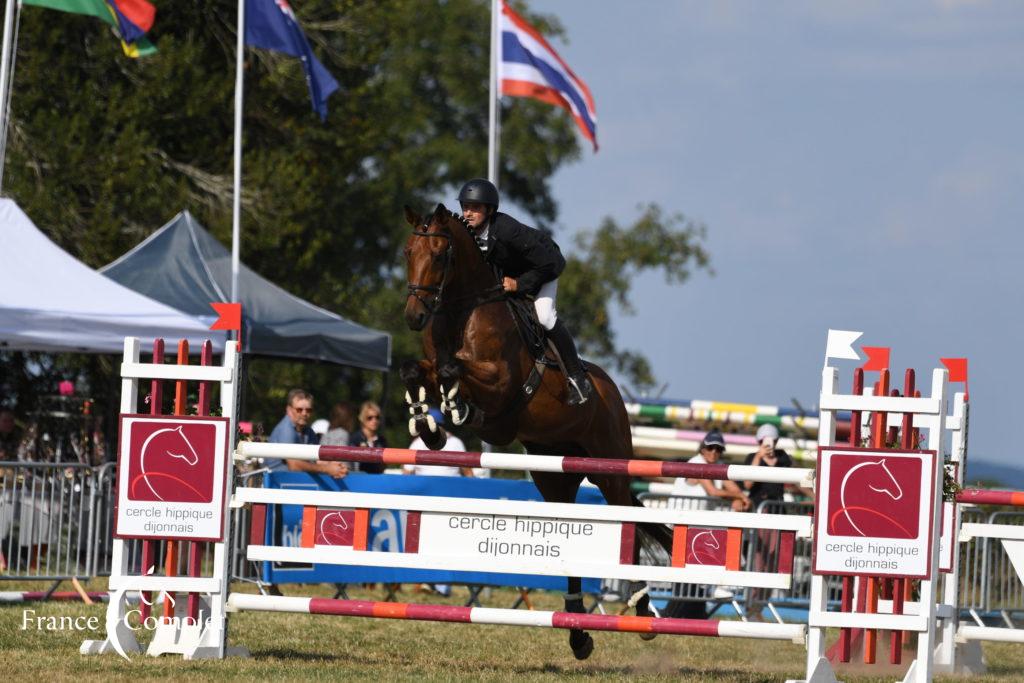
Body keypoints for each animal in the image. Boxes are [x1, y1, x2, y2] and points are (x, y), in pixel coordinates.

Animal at [397, 200, 671, 659]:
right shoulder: (434, 366)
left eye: (439, 254)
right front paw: (429, 426)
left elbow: (456, 373)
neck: (461, 309)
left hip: (611, 467)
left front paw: (456, 410)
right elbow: (417, 370)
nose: (414, 317)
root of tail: (611, 390)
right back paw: (578, 632)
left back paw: (641, 610)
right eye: (406, 253)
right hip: (553, 475)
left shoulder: (500, 387)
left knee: (627, 524)